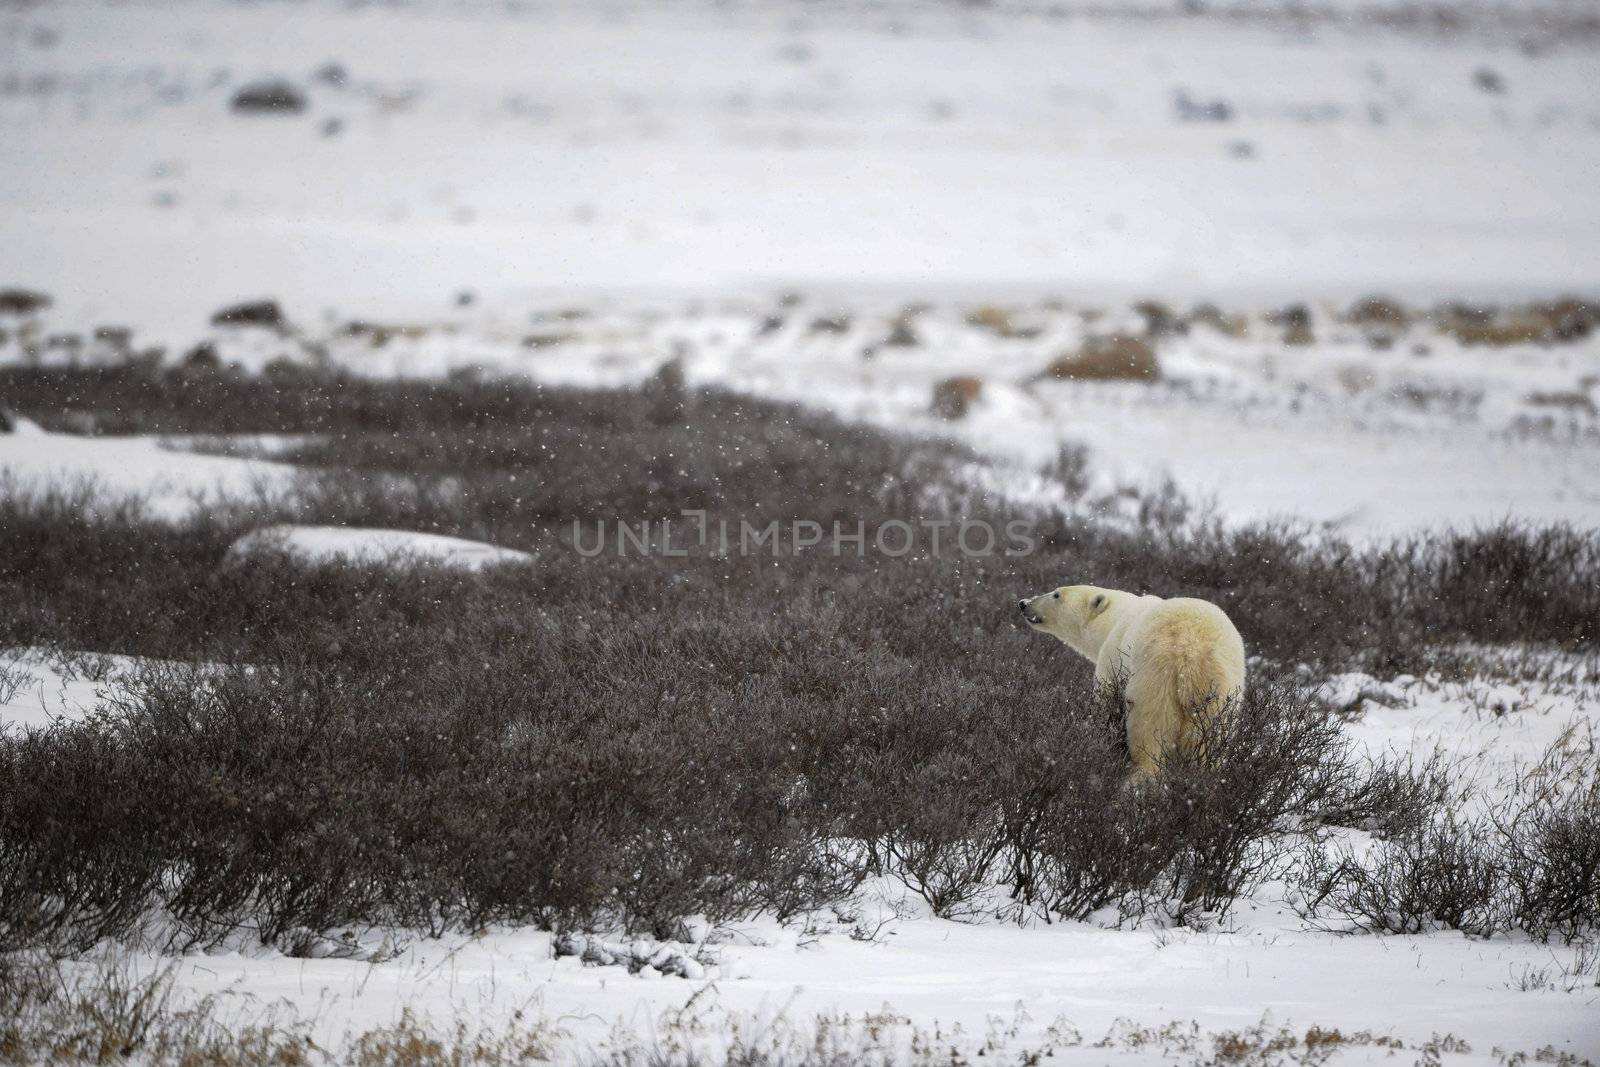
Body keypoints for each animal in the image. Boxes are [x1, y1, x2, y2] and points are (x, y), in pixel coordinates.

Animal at [1017, 585, 1241, 777]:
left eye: (1056, 594)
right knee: (1208, 737)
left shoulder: (1112, 656)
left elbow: (1105, 700)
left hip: (1155, 671)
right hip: (1221, 689)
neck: (1116, 617)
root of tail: (1192, 651)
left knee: (1150, 726)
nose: (1023, 603)